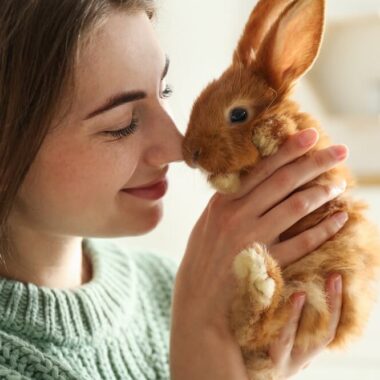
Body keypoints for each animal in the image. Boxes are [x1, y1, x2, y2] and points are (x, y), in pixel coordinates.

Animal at [181, 0, 380, 380]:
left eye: (238, 114)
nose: (190, 154)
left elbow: (280, 131)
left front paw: (265, 135)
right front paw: (224, 179)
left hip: (312, 293)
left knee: (259, 323)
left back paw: (258, 275)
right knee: (251, 326)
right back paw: (257, 274)